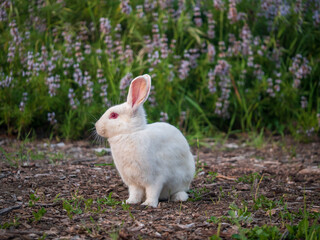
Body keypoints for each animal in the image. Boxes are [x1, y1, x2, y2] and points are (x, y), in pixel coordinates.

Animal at [95, 74, 195, 207]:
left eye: (114, 115)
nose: (96, 126)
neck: (130, 133)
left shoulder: (156, 178)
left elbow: (153, 192)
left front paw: (148, 204)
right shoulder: (133, 182)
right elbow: (135, 192)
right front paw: (130, 202)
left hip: (181, 181)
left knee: (180, 191)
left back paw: (178, 198)